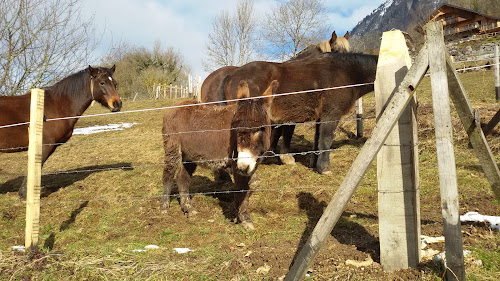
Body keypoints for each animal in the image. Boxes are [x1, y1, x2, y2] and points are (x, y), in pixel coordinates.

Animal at [0, 65, 122, 197]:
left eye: (115, 83)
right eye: (102, 83)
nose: (117, 104)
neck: (57, 104)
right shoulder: (44, 145)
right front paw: (25, 194)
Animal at [162, 79, 278, 230]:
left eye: (260, 129)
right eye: (235, 129)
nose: (243, 166)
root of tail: (173, 107)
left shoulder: (252, 164)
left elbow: (251, 185)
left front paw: (236, 211)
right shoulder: (236, 162)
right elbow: (242, 187)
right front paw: (244, 218)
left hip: (190, 155)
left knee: (182, 177)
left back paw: (188, 208)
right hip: (172, 148)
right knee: (168, 174)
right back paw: (164, 207)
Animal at [221, 51, 376, 172]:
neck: (346, 72)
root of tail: (230, 76)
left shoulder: (320, 117)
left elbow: (318, 139)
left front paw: (314, 163)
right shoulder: (331, 114)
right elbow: (326, 139)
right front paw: (324, 167)